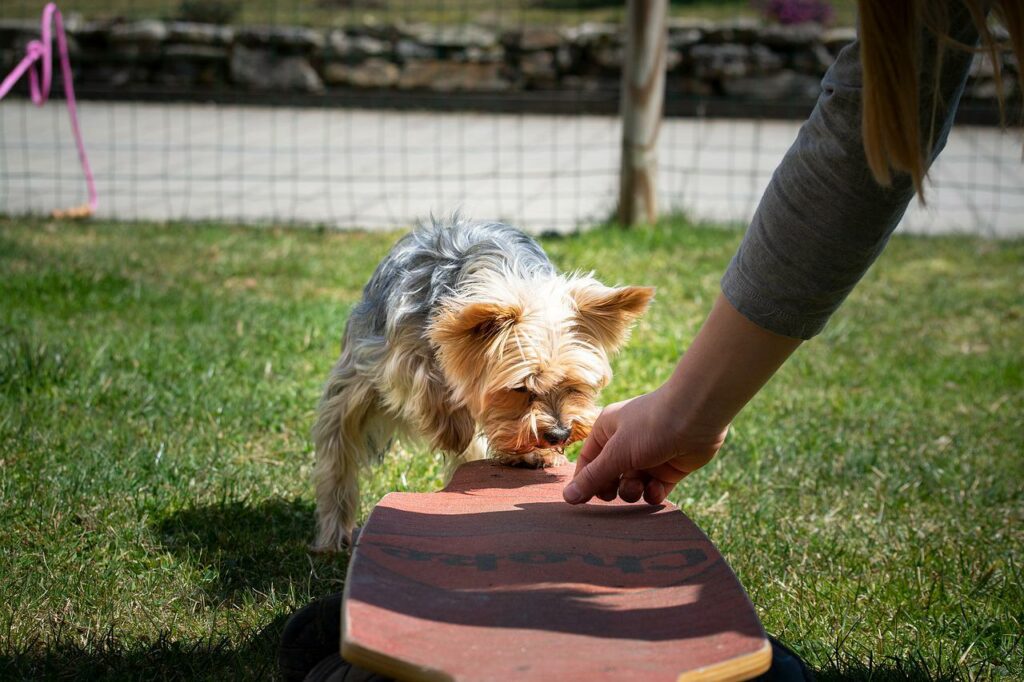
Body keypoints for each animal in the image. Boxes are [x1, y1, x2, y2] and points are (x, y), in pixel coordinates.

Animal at [307, 215, 655, 548]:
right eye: (520, 388)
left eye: (573, 384)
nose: (558, 434)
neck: (503, 271)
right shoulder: (396, 349)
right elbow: (425, 374)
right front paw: (450, 427)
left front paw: (533, 453)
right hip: (354, 381)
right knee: (338, 444)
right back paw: (333, 535)